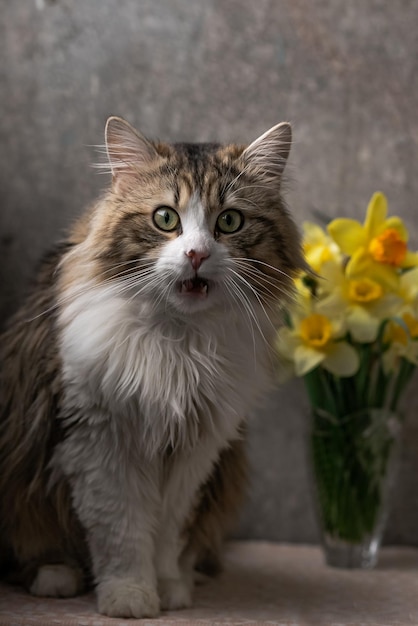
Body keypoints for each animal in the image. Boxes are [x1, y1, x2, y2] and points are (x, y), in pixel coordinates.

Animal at [0, 116, 304, 616]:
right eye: (165, 218)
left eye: (229, 221)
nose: (197, 254)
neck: (180, 340)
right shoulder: (100, 440)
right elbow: (122, 531)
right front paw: (130, 598)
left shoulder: (196, 449)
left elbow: (165, 532)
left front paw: (168, 589)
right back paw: (57, 577)